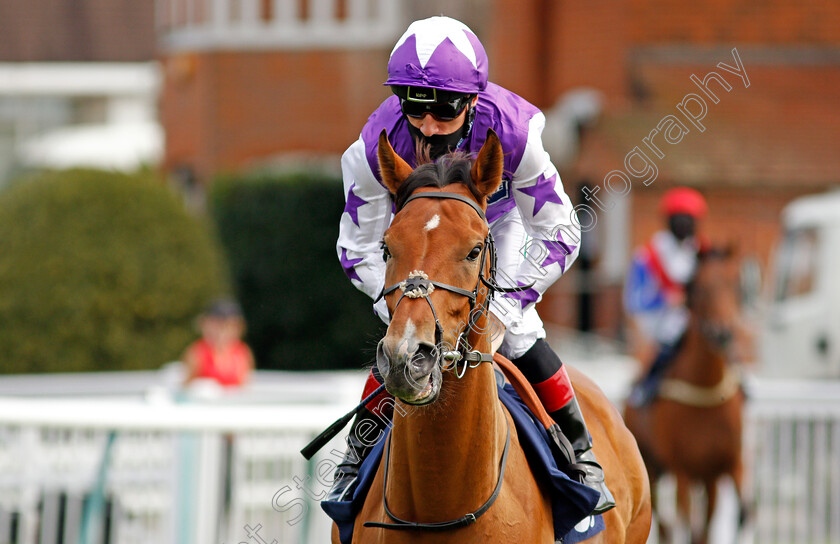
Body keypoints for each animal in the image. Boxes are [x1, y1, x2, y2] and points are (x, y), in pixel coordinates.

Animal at [624, 250, 748, 544]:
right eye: (701, 288)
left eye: (735, 285)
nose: (722, 332)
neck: (707, 391)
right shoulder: (682, 469)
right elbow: (688, 524)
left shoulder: (726, 465)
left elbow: (742, 511)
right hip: (652, 466)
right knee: (664, 521)